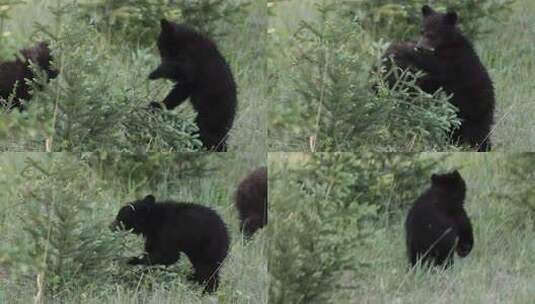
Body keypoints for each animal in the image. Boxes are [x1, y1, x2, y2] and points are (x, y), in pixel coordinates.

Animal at [149, 19, 237, 152]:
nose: (162, 57)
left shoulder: (193, 60)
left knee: (206, 133)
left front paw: (155, 73)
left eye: (161, 45)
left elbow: (181, 70)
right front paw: (158, 105)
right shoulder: (188, 84)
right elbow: (178, 92)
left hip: (211, 113)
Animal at [378, 4, 496, 152]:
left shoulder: (454, 60)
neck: (447, 44)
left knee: (477, 133)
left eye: (432, 34)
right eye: (422, 31)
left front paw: (405, 49)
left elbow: (435, 65)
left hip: (472, 108)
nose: (419, 47)